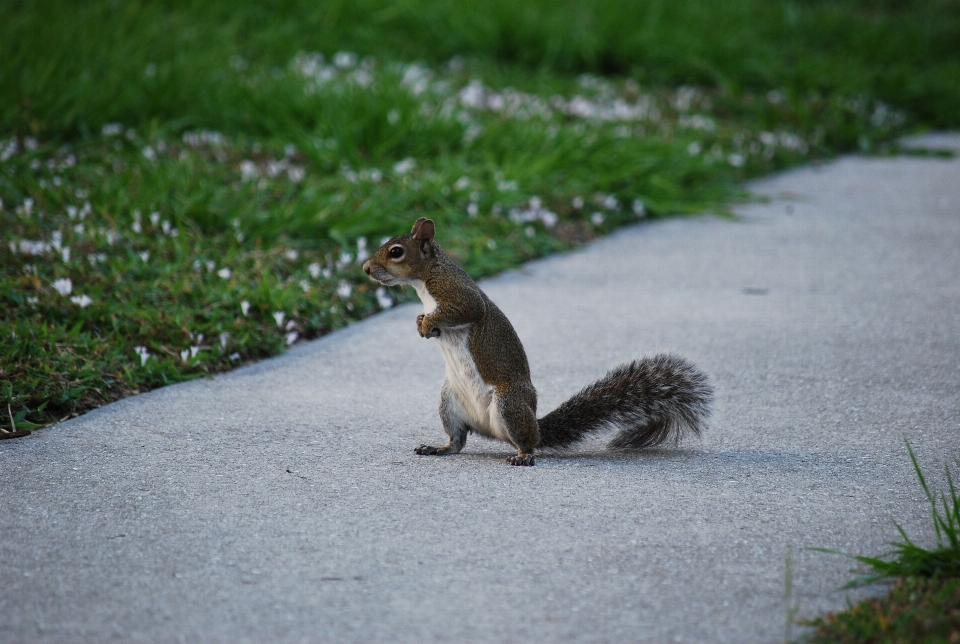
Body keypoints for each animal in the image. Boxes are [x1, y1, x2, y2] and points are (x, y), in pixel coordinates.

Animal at [362, 219, 712, 466]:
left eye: (396, 251)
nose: (365, 268)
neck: (425, 282)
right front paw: (421, 324)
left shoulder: (459, 294)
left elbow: (467, 309)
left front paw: (427, 322)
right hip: (450, 402)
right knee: (458, 442)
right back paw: (439, 447)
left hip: (510, 403)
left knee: (526, 441)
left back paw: (524, 455)